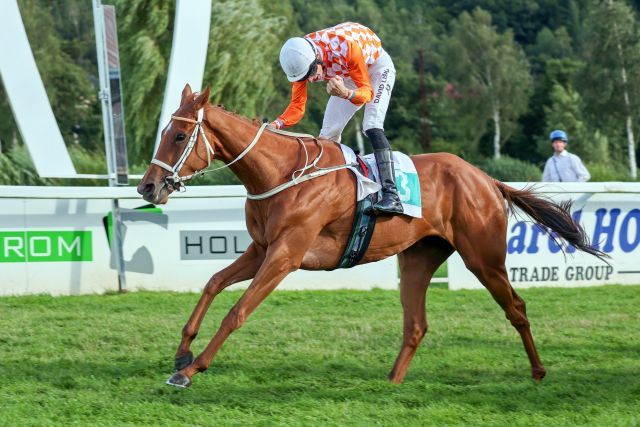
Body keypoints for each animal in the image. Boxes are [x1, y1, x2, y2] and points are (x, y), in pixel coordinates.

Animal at [138, 85, 604, 390]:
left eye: (179, 135)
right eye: (164, 132)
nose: (147, 187)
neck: (283, 173)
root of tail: (486, 178)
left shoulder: (286, 255)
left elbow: (237, 311)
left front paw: (190, 370)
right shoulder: (261, 249)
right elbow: (213, 282)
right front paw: (182, 351)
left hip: (483, 257)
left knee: (517, 308)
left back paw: (538, 371)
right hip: (418, 257)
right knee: (416, 324)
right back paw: (392, 382)